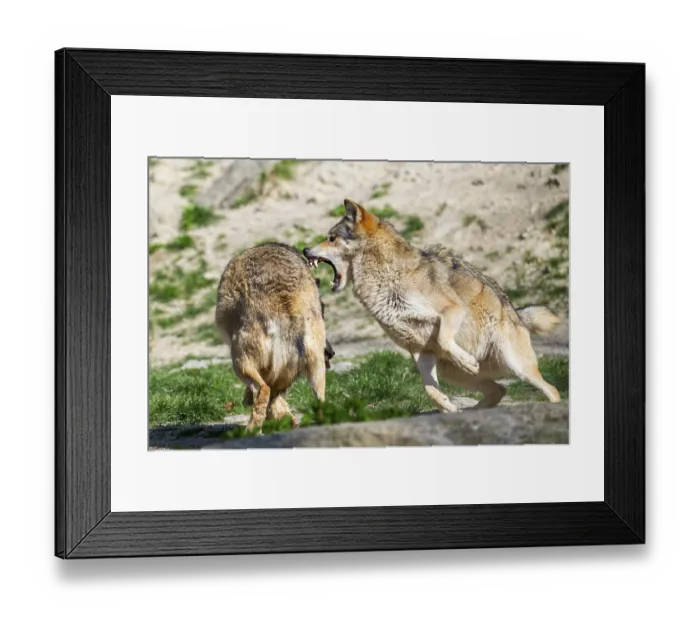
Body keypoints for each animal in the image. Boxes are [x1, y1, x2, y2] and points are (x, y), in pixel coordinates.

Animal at [215, 243, 331, 431]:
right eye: (324, 310)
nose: (331, 353)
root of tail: (289, 307)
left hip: (239, 360)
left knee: (263, 390)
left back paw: (251, 431)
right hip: (315, 370)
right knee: (317, 402)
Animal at [303, 199, 562, 412]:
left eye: (331, 238)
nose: (305, 249)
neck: (386, 279)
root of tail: (517, 313)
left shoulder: (452, 310)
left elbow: (445, 339)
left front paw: (467, 361)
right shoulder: (420, 350)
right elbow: (431, 391)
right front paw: (447, 405)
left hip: (517, 366)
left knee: (552, 390)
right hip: (454, 374)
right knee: (499, 390)